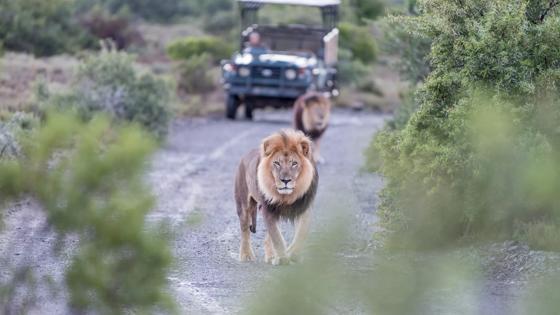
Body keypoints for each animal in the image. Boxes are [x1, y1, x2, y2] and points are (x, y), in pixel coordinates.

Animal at [233, 130, 320, 266]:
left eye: (294, 163)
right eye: (277, 163)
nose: (285, 180)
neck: (287, 197)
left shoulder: (304, 209)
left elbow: (300, 235)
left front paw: (292, 255)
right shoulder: (268, 210)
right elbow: (277, 237)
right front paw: (283, 258)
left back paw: (271, 256)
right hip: (243, 205)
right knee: (245, 231)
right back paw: (246, 255)